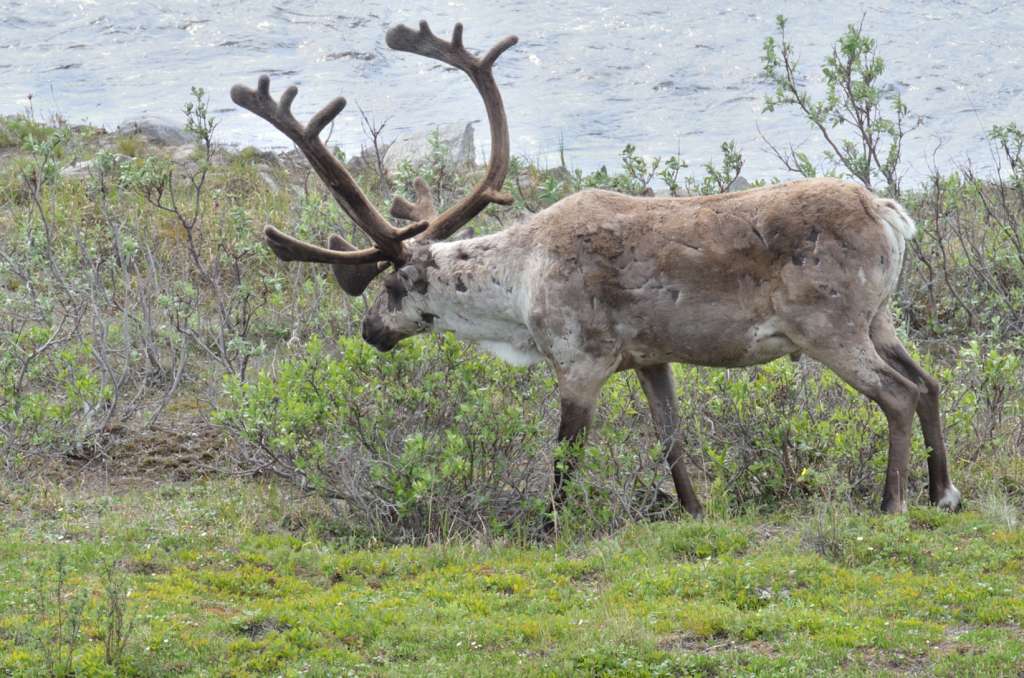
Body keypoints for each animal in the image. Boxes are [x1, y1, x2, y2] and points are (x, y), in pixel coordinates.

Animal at [230, 20, 961, 520]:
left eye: (389, 286)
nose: (369, 332)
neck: (518, 285)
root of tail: (889, 212)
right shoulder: (650, 357)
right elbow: (671, 439)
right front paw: (694, 511)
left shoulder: (580, 361)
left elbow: (563, 456)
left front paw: (547, 526)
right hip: (881, 317)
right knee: (928, 383)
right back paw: (943, 493)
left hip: (830, 326)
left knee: (896, 395)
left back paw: (892, 503)